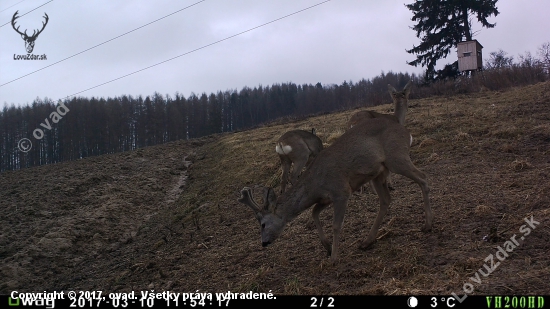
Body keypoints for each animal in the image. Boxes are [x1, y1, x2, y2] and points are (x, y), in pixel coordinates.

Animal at [239, 116, 434, 262]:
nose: (263, 243)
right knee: (386, 200)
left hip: (397, 157)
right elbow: (314, 213)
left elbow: (336, 224)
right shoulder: (325, 198)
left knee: (423, 178)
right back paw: (367, 242)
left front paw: (333, 257)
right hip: (378, 173)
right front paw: (326, 247)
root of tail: (406, 132)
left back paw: (427, 225)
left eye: (263, 224)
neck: (314, 184)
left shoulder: (341, 191)